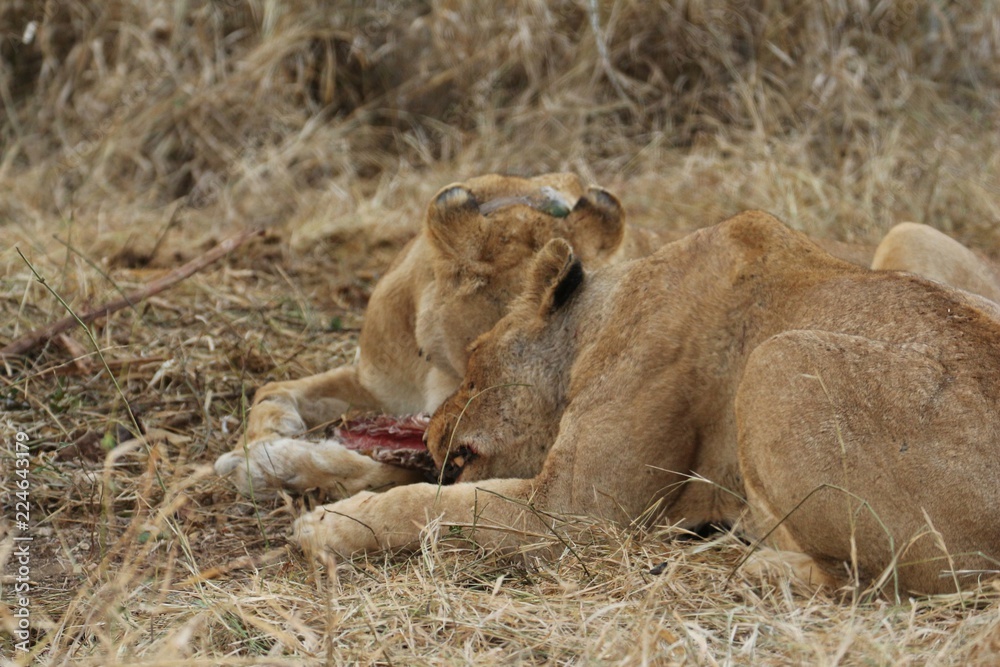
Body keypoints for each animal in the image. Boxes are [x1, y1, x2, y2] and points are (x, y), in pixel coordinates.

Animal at [214, 172, 664, 496]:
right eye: (483, 352)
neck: (434, 368)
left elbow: (371, 472)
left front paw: (269, 466)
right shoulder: (373, 383)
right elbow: (272, 390)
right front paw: (259, 443)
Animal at [291, 211, 1000, 595]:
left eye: (472, 362)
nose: (432, 429)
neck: (599, 321)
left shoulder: (577, 512)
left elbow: (437, 504)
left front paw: (329, 525)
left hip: (777, 360)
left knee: (872, 583)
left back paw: (755, 568)